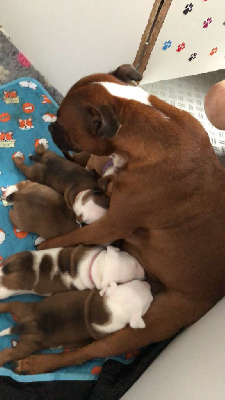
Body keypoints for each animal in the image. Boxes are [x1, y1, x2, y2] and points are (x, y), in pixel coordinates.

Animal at [0, 280, 153, 370]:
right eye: (150, 300)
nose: (148, 284)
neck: (117, 307)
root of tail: (27, 325)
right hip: (28, 345)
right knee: (7, 354)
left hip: (23, 312)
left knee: (7, 305)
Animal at [22, 64, 224, 374]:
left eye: (62, 122)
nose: (50, 127)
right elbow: (85, 164)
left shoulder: (109, 225)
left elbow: (70, 235)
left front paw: (44, 246)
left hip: (145, 326)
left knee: (87, 353)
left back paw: (37, 364)